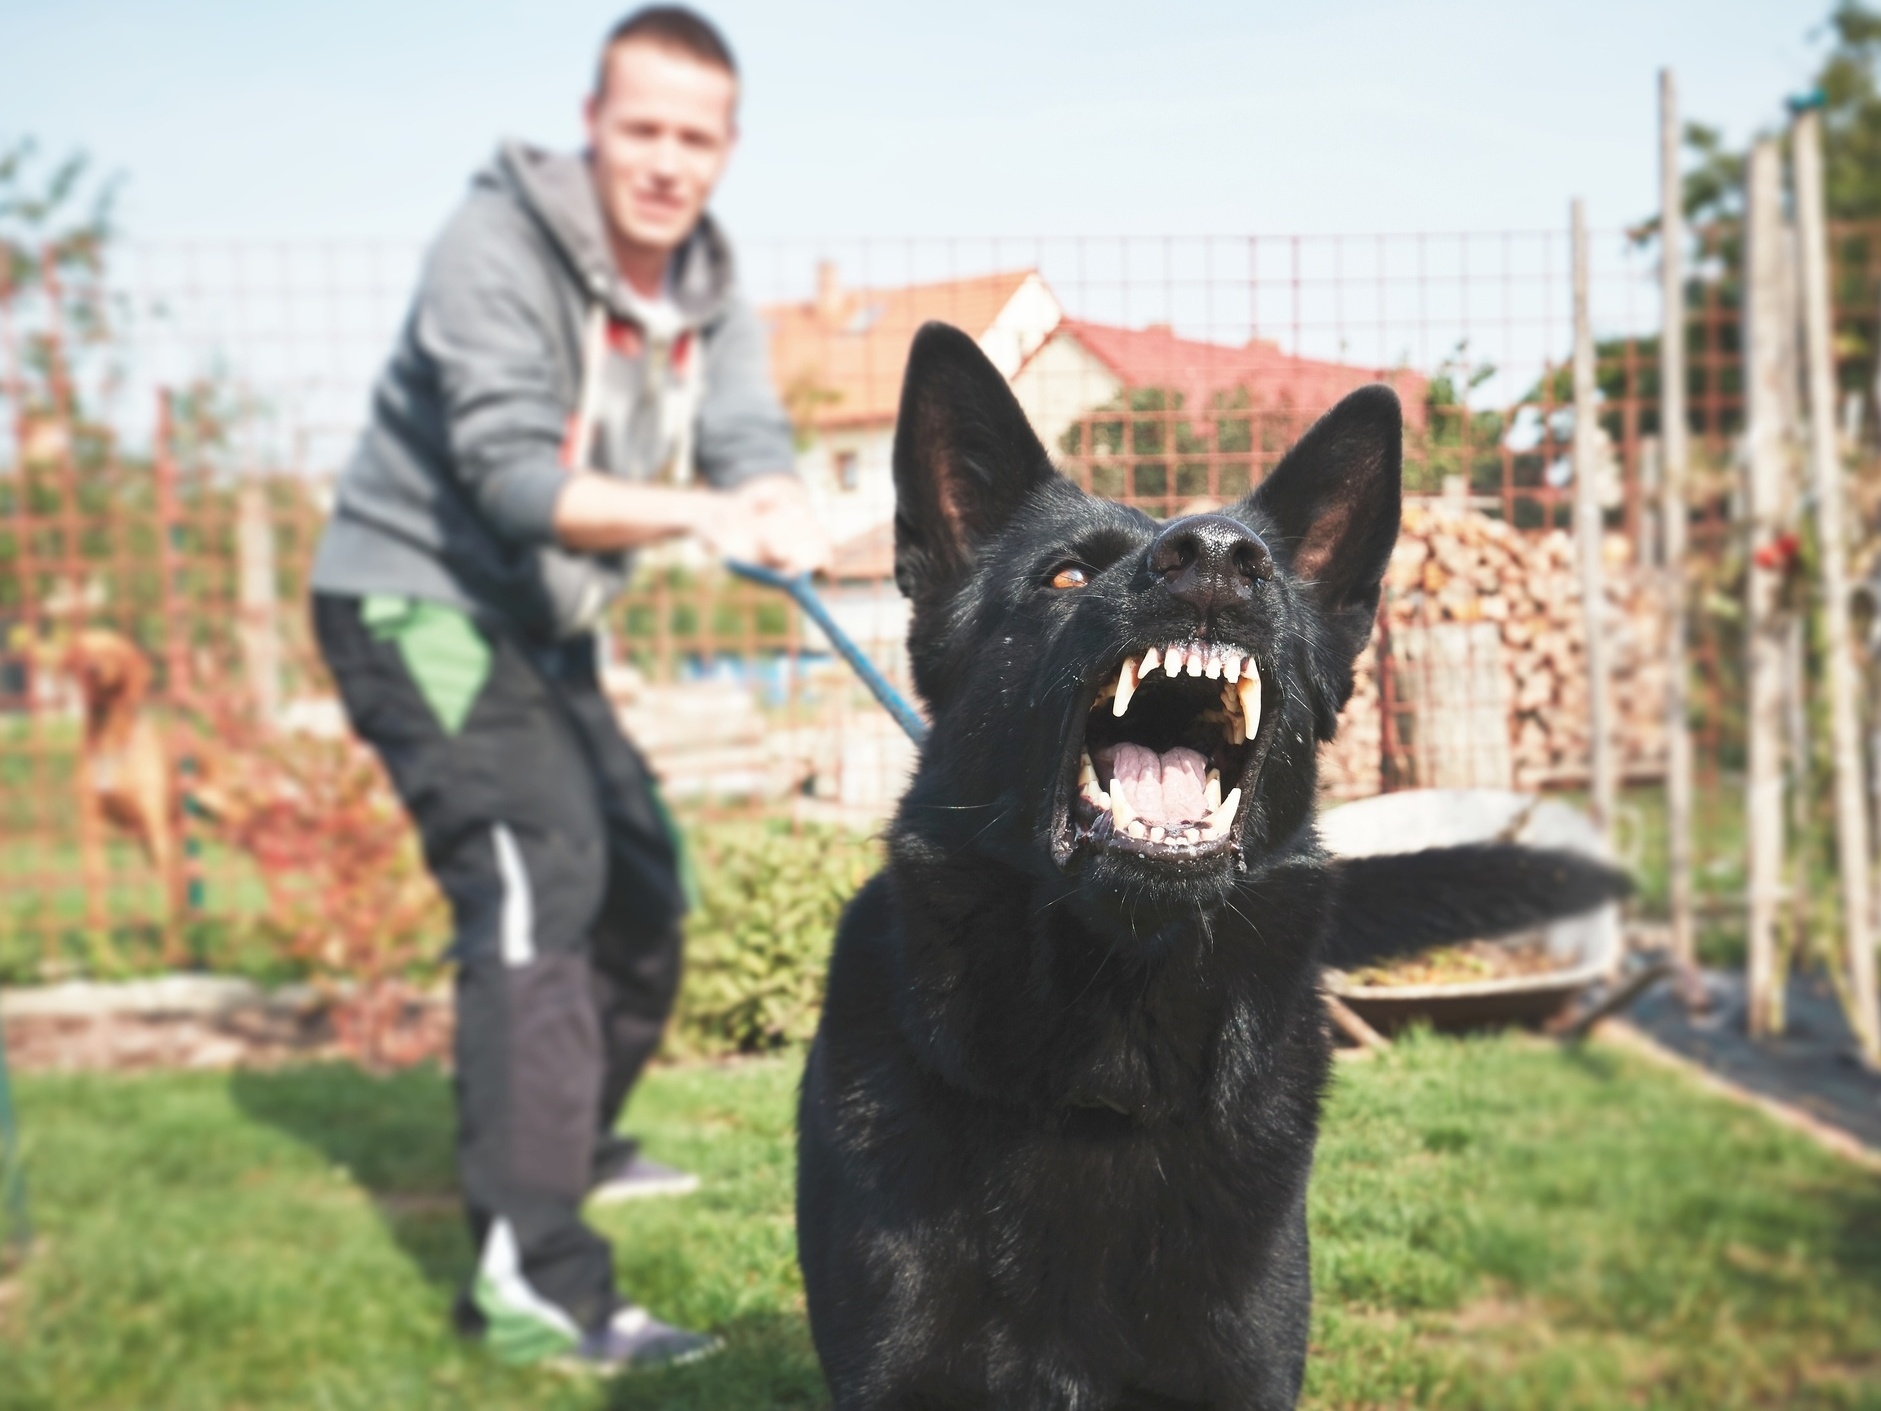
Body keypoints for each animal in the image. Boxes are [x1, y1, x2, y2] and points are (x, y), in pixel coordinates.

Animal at [61, 632, 188, 955]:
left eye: (114, 651)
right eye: (83, 651)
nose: (93, 670)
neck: (109, 740)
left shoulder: (155, 830)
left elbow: (165, 899)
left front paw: (170, 954)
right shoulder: (91, 831)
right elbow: (96, 900)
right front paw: (102, 955)